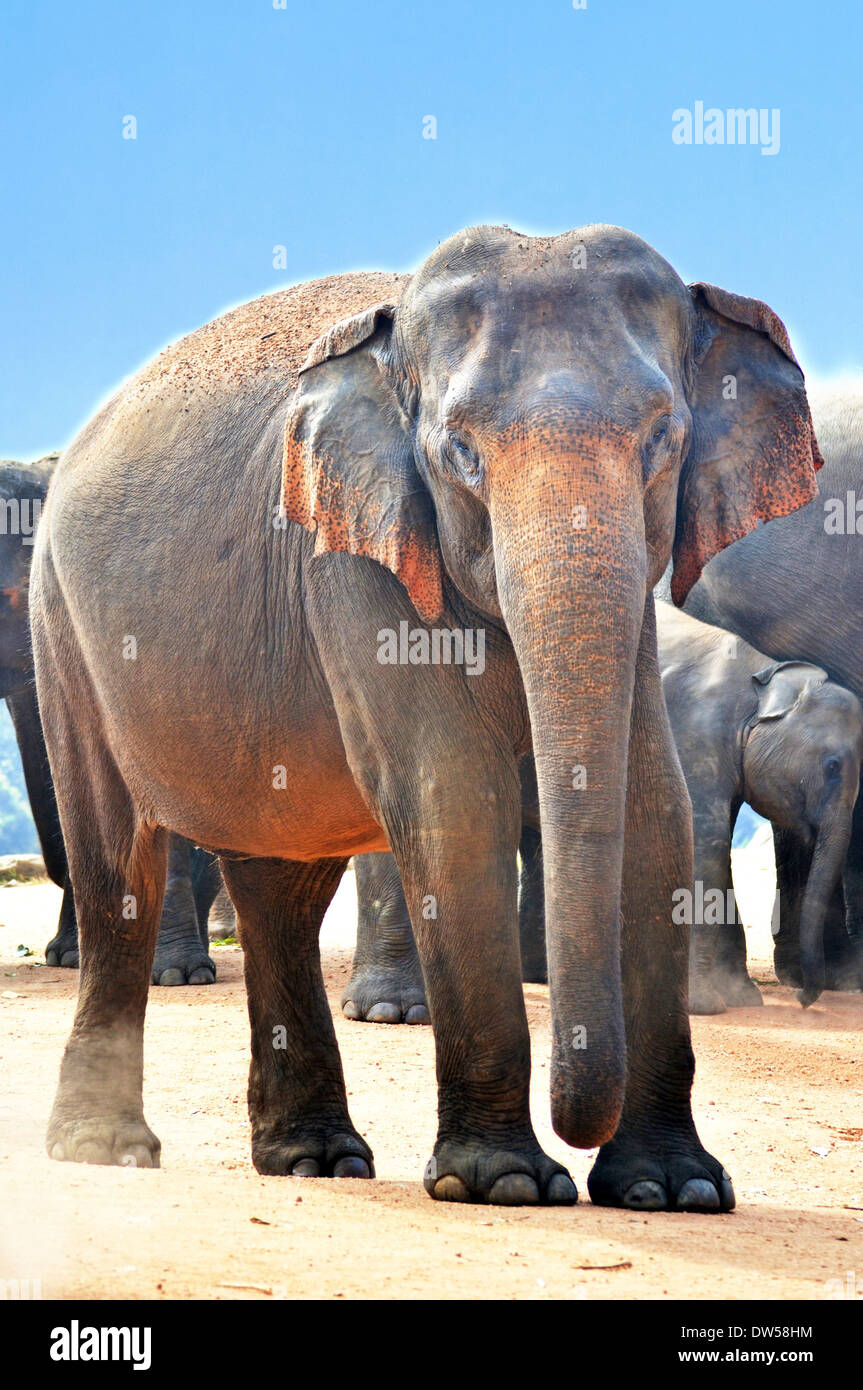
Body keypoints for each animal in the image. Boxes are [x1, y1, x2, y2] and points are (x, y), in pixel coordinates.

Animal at [28, 227, 822, 1206]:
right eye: (460, 453)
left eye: (663, 439)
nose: (579, 1135)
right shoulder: (349, 556)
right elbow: (454, 800)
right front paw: (507, 1184)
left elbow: (654, 811)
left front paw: (672, 1191)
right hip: (62, 631)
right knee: (118, 869)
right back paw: (107, 1148)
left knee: (282, 888)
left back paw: (315, 1161)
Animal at [655, 603, 856, 1017]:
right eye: (832, 766)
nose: (803, 1000)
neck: (762, 674)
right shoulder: (698, 733)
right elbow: (707, 842)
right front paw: (704, 1006)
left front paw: (741, 998)